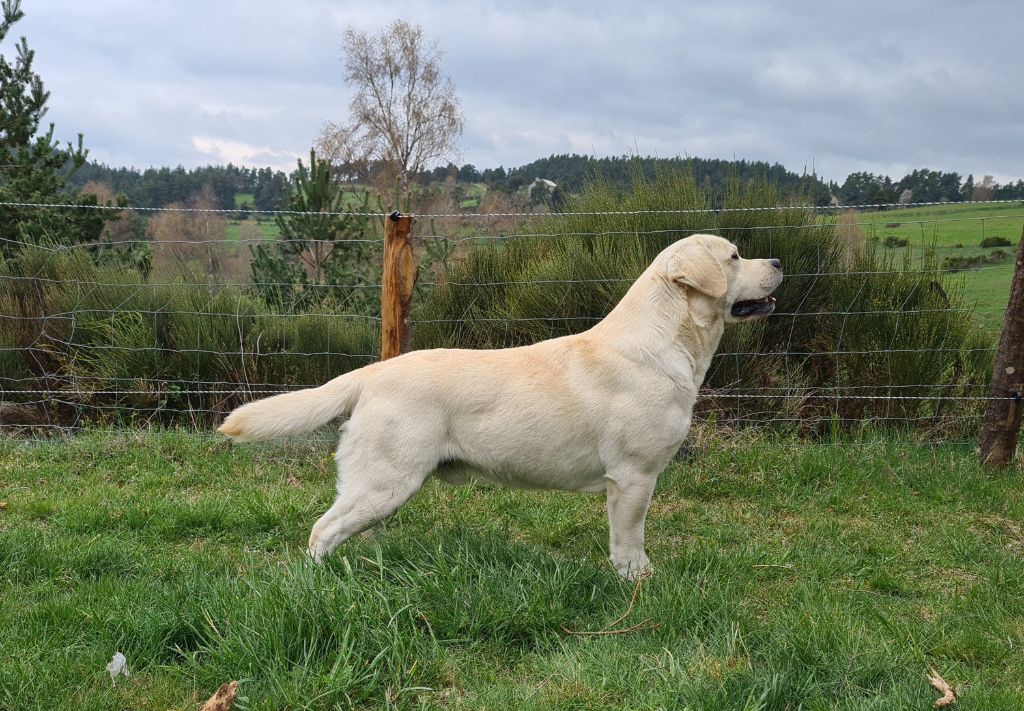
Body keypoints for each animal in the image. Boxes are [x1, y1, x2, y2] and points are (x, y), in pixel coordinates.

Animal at [220, 233, 782, 577]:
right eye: (734, 257)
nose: (778, 261)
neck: (665, 342)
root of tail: (373, 372)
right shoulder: (633, 477)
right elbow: (630, 541)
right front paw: (637, 581)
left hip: (383, 486)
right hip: (385, 481)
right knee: (322, 530)